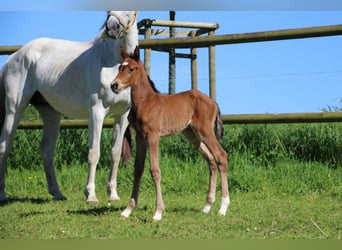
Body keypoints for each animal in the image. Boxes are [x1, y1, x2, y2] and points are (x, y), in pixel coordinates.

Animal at [112, 46, 230, 221]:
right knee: (211, 160)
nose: (114, 85)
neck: (145, 102)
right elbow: (138, 169)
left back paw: (223, 207)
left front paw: (158, 212)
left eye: (131, 69)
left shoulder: (153, 136)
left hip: (206, 131)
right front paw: (127, 210)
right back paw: (207, 206)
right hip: (192, 135)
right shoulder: (140, 137)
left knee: (221, 156)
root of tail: (213, 102)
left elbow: (155, 170)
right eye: (120, 67)